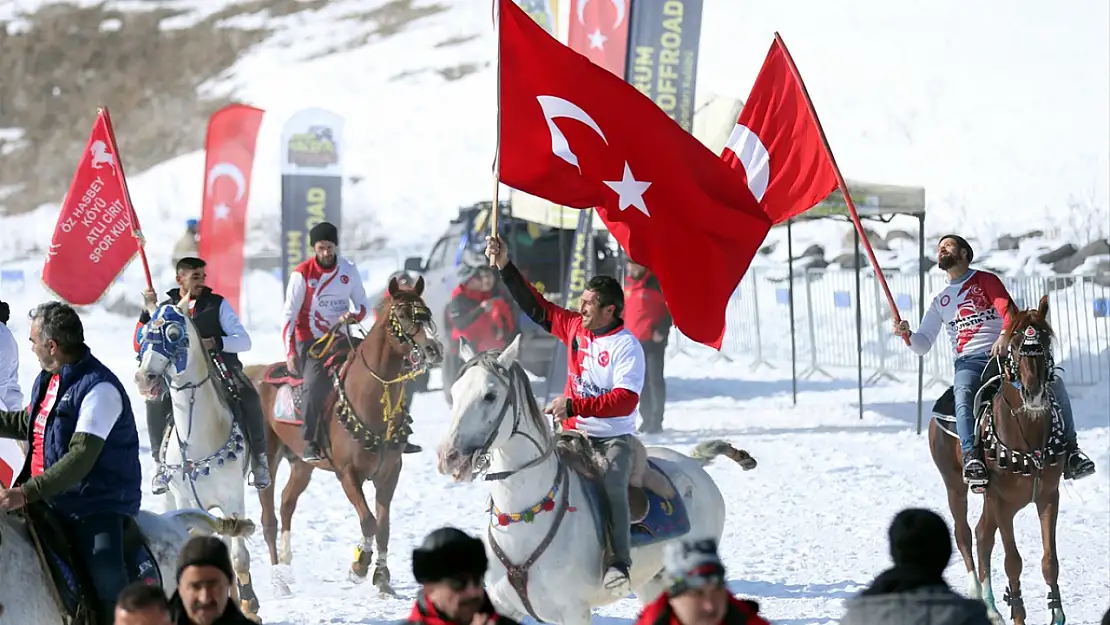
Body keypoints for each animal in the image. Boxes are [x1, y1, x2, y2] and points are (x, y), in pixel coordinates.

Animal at [133, 295, 258, 621]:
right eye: (145, 333)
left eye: (174, 333)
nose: (144, 378)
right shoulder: (185, 499)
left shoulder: (232, 500)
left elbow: (239, 556)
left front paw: (250, 606)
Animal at [246, 277, 441, 595]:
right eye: (401, 315)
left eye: (427, 313)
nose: (433, 349)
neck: (369, 399)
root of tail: (258, 376)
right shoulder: (348, 473)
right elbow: (369, 521)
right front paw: (359, 567)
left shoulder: (389, 473)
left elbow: (384, 526)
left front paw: (382, 577)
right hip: (268, 459)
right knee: (269, 519)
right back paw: (279, 582)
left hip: (301, 464)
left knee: (287, 503)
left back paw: (286, 566)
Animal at [437, 337, 759, 625]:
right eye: (454, 392)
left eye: (490, 395)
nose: (448, 456)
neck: (525, 519)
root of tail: (694, 463)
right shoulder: (504, 606)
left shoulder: (575, 613)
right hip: (652, 582)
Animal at [923, 297, 1070, 625]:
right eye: (1014, 345)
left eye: (1045, 341)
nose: (1034, 393)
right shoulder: (1000, 500)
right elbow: (1013, 561)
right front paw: (1018, 613)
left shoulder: (1048, 497)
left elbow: (1050, 560)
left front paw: (1056, 611)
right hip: (956, 485)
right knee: (965, 534)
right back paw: (980, 597)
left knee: (982, 534)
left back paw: (991, 608)